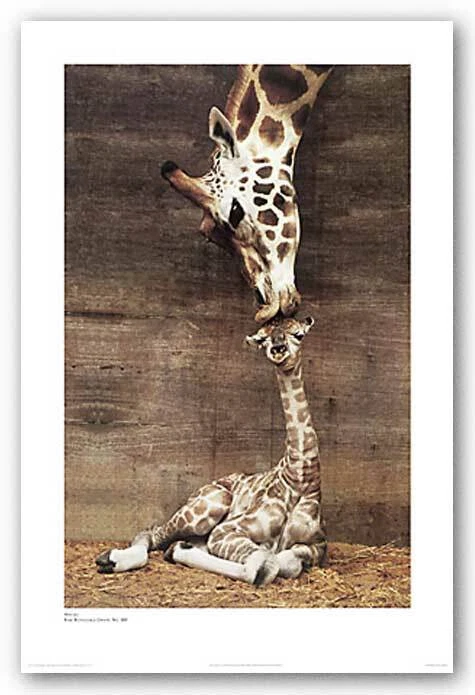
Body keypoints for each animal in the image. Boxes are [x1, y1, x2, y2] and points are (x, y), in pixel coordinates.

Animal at [96, 315, 326, 586]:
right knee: (152, 532)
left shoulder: (318, 546)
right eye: (262, 339)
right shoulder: (226, 530)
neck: (300, 477)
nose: (278, 349)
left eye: (298, 334)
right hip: (209, 506)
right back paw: (111, 559)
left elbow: (287, 562)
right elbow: (265, 565)